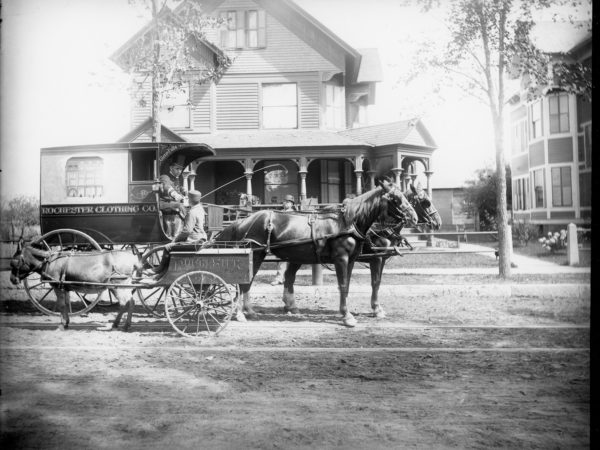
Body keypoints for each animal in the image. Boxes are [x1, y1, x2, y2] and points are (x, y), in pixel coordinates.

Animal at [10, 243, 142, 330]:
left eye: (14, 262)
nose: (12, 279)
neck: (50, 261)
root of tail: (131, 257)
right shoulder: (64, 288)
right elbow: (65, 304)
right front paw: (66, 322)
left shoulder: (58, 287)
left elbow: (61, 305)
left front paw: (62, 324)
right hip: (121, 286)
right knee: (131, 302)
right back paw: (124, 325)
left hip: (117, 285)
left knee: (125, 303)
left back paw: (119, 325)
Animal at [212, 177, 418, 326]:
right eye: (395, 199)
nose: (414, 217)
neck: (347, 222)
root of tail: (243, 221)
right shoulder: (344, 259)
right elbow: (347, 285)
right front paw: (348, 316)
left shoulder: (352, 260)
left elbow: (354, 285)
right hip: (255, 255)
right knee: (245, 283)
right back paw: (240, 313)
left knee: (270, 280)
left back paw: (254, 310)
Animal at [360, 181, 440, 318]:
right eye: (426, 202)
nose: (438, 222)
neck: (380, 229)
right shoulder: (376, 258)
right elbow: (375, 282)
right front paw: (376, 309)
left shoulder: (382, 259)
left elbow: (378, 282)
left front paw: (377, 307)